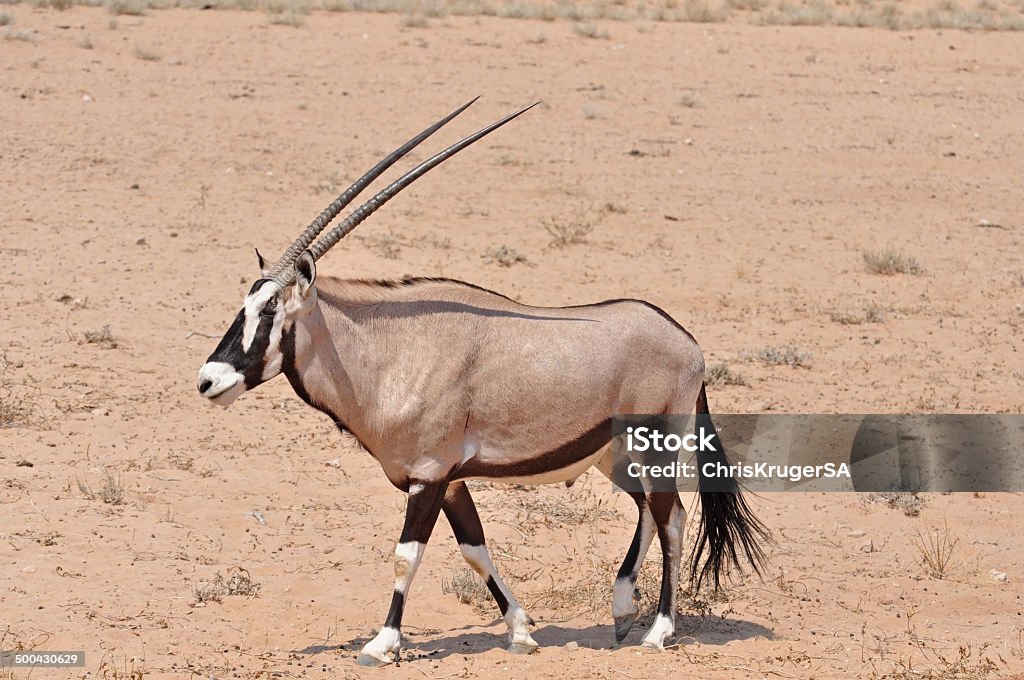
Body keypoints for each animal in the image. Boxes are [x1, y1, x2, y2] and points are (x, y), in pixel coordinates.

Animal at [197, 98, 770, 667]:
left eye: (271, 310)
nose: (208, 380)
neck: (387, 352)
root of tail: (687, 341)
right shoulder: (449, 481)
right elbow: (474, 549)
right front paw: (520, 631)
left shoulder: (429, 476)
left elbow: (407, 556)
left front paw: (382, 643)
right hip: (616, 456)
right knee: (650, 511)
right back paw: (623, 609)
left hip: (655, 447)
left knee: (671, 518)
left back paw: (659, 629)